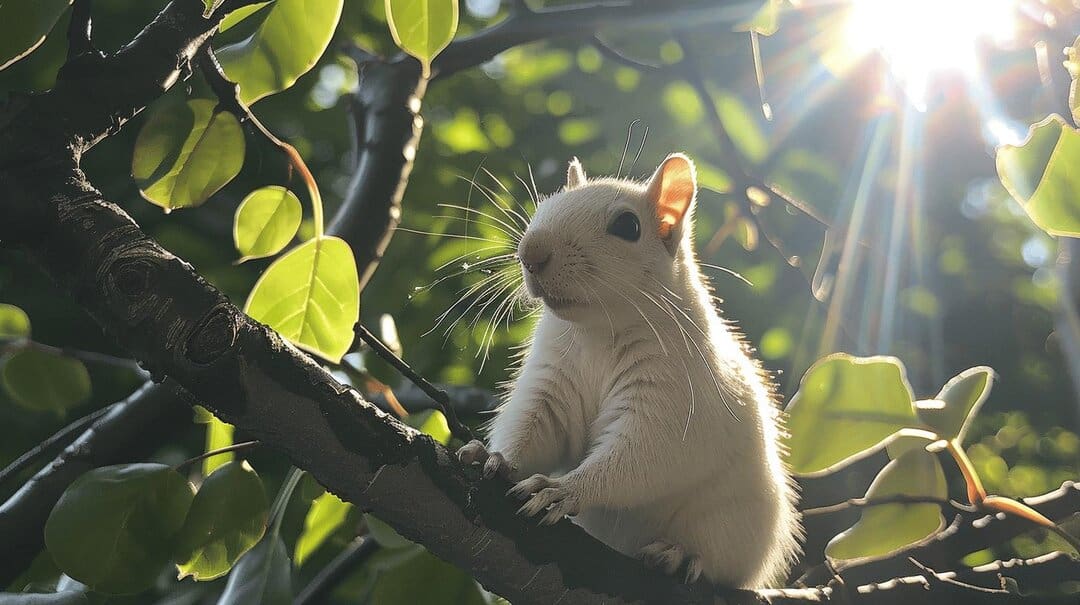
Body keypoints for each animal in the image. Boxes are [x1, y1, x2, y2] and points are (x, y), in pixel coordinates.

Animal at [458, 153, 801, 587]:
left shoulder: (675, 395)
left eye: (627, 227)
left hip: (734, 529)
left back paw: (679, 555)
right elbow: (535, 428)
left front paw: (564, 489)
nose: (531, 253)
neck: (599, 331)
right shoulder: (552, 378)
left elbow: (642, 454)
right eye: (546, 203)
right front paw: (497, 457)